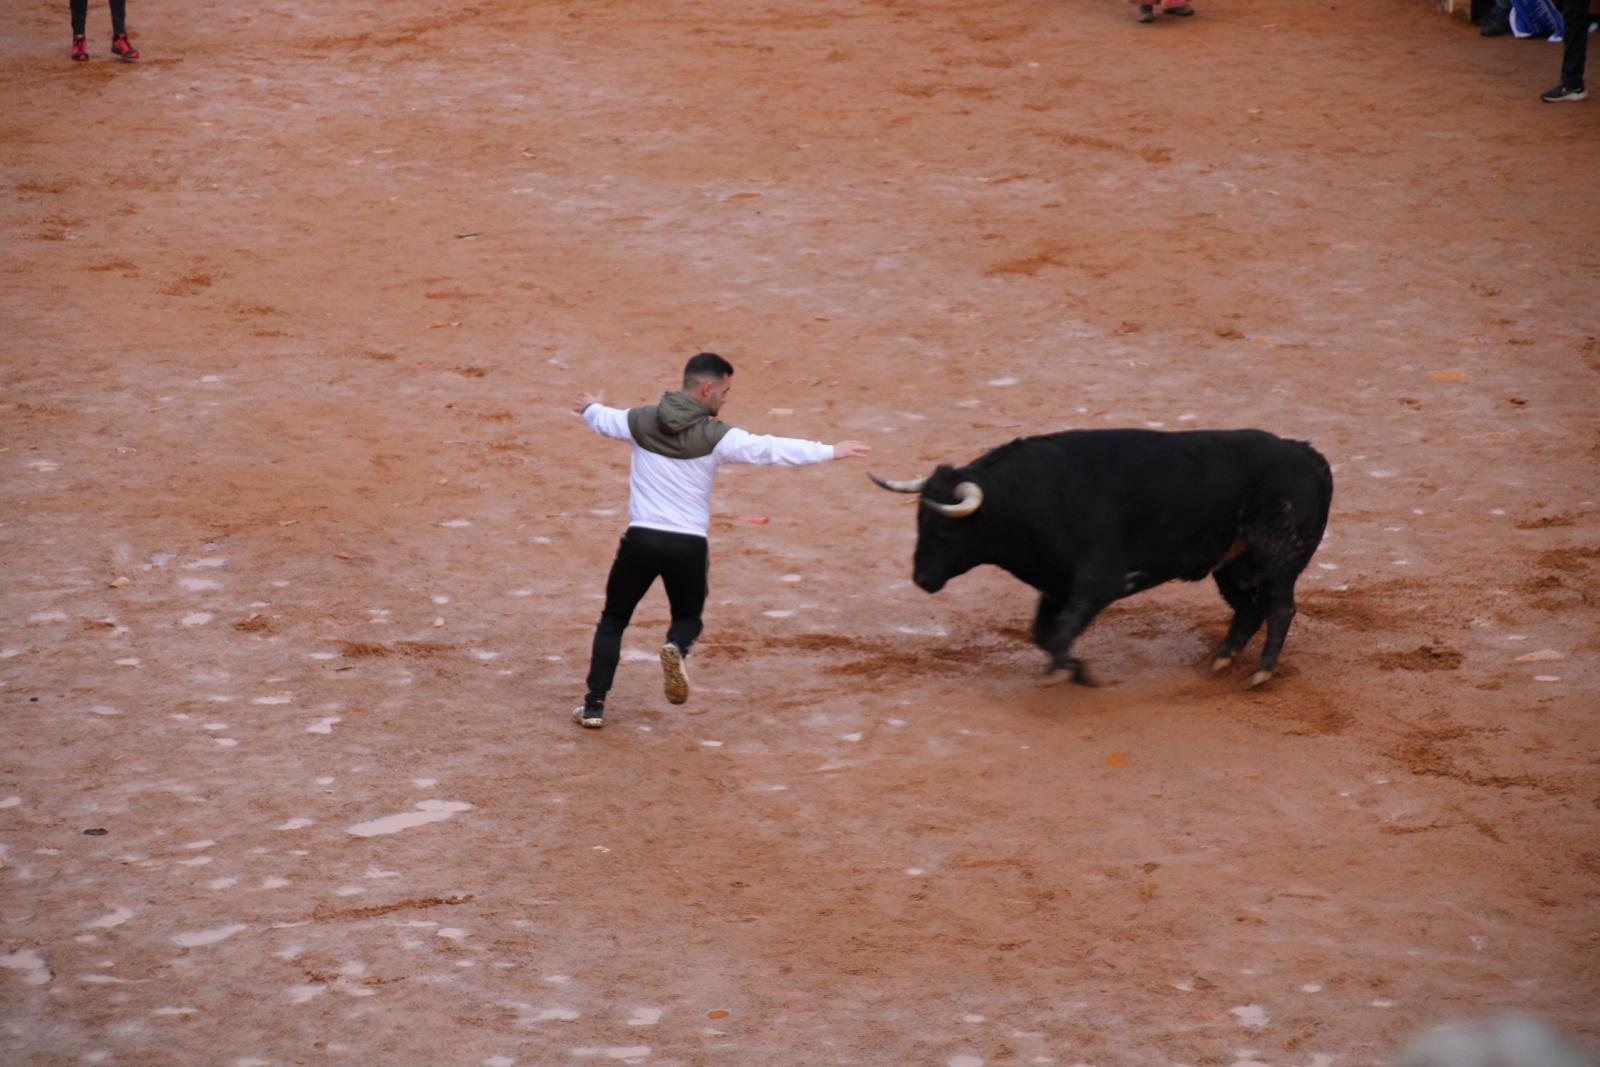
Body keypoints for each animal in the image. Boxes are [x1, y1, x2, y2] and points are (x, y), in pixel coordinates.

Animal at [870, 428, 1331, 687]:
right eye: (919, 521)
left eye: (945, 529)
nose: (922, 579)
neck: (1028, 499)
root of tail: (1309, 454)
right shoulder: (1056, 586)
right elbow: (1045, 633)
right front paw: (1077, 670)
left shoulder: (1099, 582)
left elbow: (1059, 631)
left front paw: (1065, 671)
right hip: (1233, 563)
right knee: (1249, 610)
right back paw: (1220, 661)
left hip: (1276, 556)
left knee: (1280, 607)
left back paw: (1261, 672)